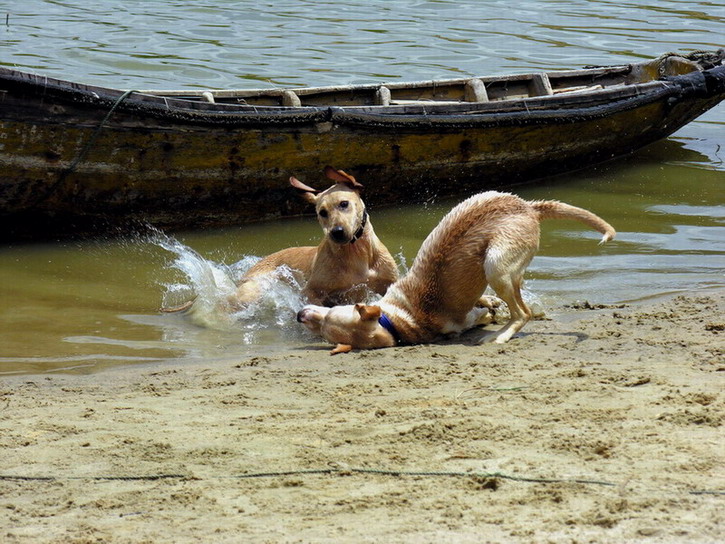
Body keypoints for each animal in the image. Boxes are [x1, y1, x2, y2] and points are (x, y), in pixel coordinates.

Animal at [296, 190, 612, 352]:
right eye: (325, 333)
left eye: (331, 317)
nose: (299, 315)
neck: (399, 321)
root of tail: (529, 208)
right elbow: (484, 301)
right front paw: (489, 304)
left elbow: (481, 314)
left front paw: (489, 315)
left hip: (495, 265)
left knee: (522, 314)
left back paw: (500, 336)